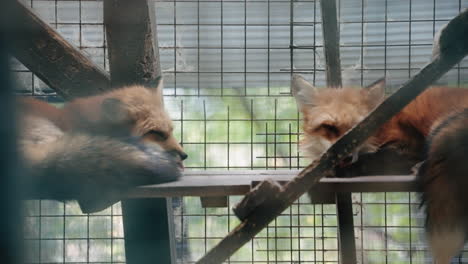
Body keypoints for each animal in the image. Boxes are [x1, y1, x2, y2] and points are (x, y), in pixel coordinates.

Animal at [292, 74, 468, 264]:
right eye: (329, 127)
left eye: (359, 130)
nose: (346, 158)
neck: (381, 126)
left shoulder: (409, 146)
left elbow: (373, 159)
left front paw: (343, 170)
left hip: (438, 126)